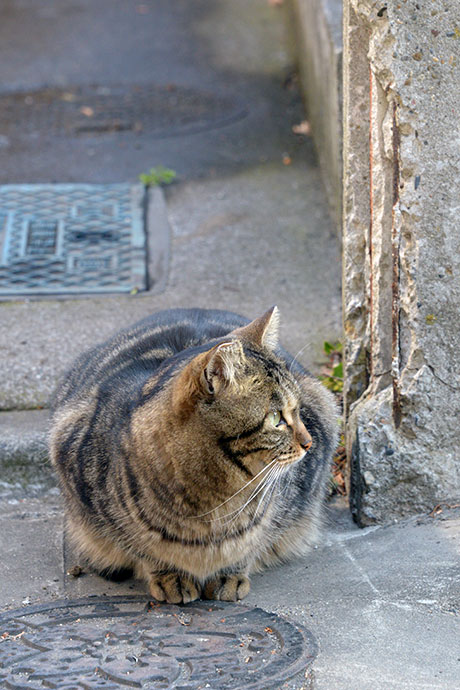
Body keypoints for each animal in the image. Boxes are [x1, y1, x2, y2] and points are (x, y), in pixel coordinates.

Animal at [50, 308, 338, 600]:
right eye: (276, 417)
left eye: (299, 410)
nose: (309, 443)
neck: (214, 501)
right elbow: (143, 547)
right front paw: (170, 576)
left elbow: (249, 545)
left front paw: (229, 575)